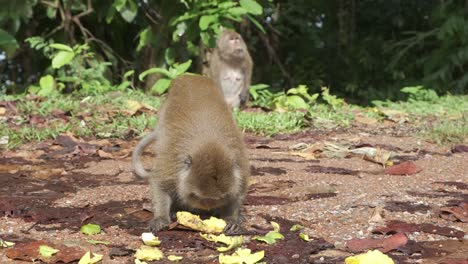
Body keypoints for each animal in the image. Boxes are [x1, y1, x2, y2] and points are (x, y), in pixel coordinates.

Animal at [130, 74, 250, 233]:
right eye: (198, 197)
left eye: (218, 198)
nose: (206, 208)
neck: (209, 144)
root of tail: (191, 76)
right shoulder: (172, 163)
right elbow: (160, 184)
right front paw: (161, 217)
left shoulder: (240, 163)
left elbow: (239, 191)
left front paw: (231, 218)